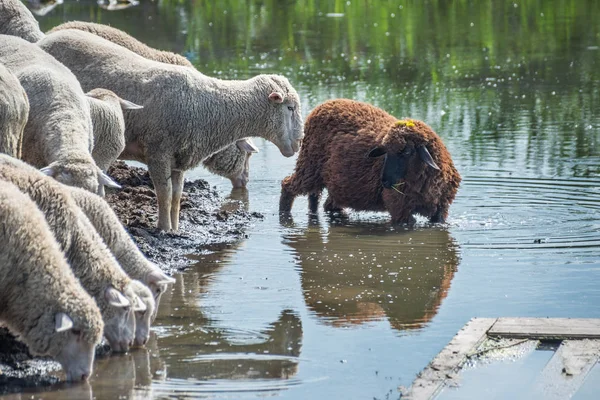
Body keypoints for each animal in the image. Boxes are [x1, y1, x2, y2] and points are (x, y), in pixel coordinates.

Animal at [37, 29, 304, 231]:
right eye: (290, 108)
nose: (298, 143)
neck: (210, 106)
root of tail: (45, 38)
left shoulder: (179, 159)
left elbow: (176, 196)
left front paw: (175, 228)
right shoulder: (158, 152)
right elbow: (164, 194)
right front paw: (164, 228)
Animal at [278, 99, 462, 225]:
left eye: (407, 151)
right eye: (385, 152)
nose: (385, 182)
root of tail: (324, 104)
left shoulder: (440, 212)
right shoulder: (400, 209)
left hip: (335, 182)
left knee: (324, 202)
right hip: (309, 166)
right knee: (288, 185)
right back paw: (284, 214)